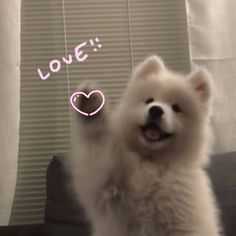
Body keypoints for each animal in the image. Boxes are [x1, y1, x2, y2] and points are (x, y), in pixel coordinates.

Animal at [69, 55, 221, 236]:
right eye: (149, 100)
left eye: (176, 108)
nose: (155, 110)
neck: (152, 163)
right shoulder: (106, 184)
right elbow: (98, 141)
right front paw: (91, 106)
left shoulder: (184, 224)